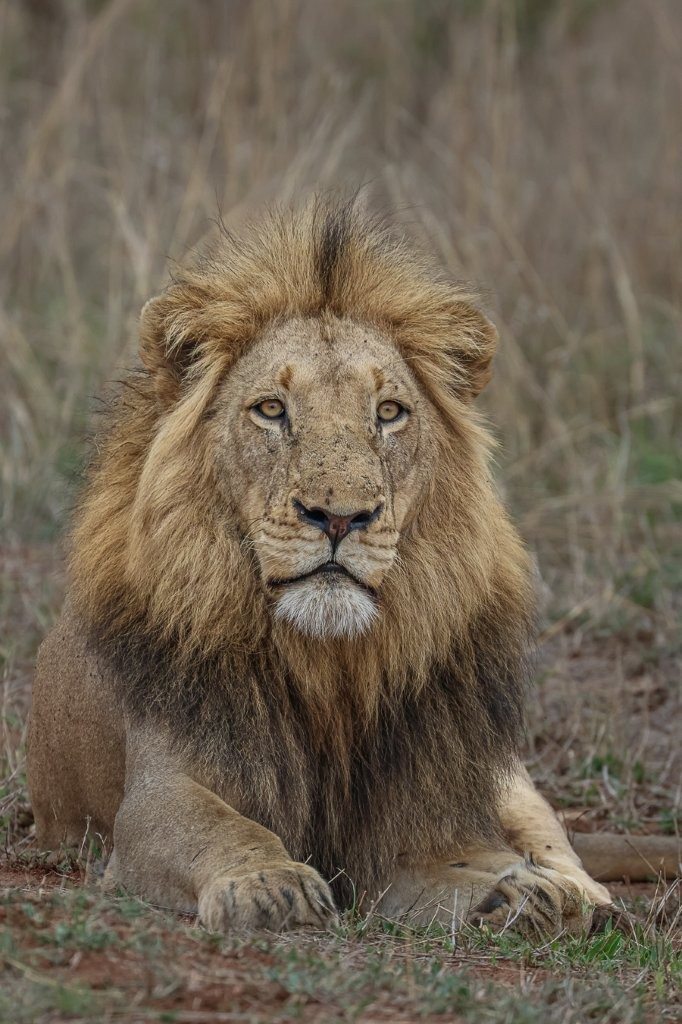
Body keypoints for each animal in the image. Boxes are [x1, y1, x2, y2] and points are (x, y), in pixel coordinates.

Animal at [27, 198, 678, 936]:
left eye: (389, 412)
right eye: (271, 410)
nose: (339, 517)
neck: (327, 666)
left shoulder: (408, 827)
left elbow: (468, 861)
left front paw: (521, 893)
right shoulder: (157, 792)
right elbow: (224, 829)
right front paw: (269, 882)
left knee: (553, 840)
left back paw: (577, 895)